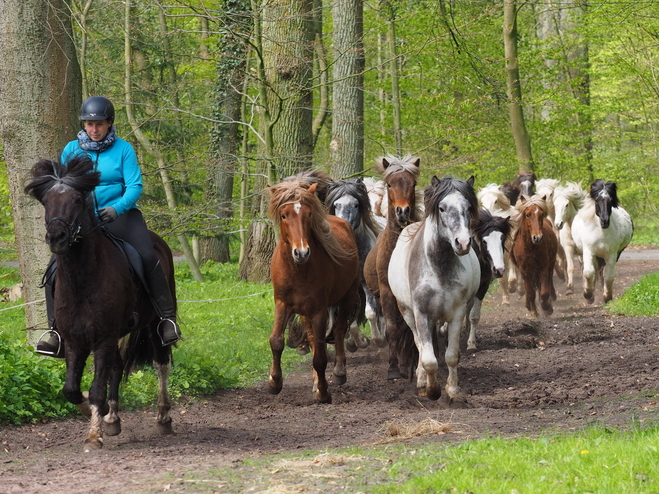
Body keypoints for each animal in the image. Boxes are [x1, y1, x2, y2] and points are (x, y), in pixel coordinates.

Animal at [25, 155, 175, 452]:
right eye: (46, 201)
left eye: (77, 200)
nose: (56, 238)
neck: (84, 280)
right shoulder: (75, 339)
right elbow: (72, 389)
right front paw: (98, 413)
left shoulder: (104, 337)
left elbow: (96, 389)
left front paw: (94, 435)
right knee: (116, 367)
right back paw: (113, 418)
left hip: (153, 323)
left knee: (160, 363)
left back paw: (163, 417)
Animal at [266, 176, 360, 404]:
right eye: (284, 215)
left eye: (308, 214)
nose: (301, 252)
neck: (298, 270)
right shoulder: (282, 304)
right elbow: (276, 341)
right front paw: (275, 382)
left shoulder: (319, 309)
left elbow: (320, 356)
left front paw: (324, 392)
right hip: (304, 311)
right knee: (311, 337)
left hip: (347, 296)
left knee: (338, 329)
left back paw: (339, 372)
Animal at [326, 178, 386, 352]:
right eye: (336, 205)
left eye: (356, 205)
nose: (343, 225)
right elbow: (351, 320)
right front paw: (359, 342)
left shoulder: (366, 283)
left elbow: (371, 313)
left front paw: (379, 340)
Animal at [360, 154, 422, 378]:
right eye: (390, 184)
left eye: (413, 183)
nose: (402, 211)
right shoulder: (386, 291)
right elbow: (393, 328)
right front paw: (394, 368)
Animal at [392, 176, 480, 404]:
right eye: (441, 208)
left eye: (468, 207)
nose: (463, 243)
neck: (439, 268)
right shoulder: (422, 314)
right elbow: (429, 358)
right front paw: (432, 390)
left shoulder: (457, 314)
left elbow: (452, 355)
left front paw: (453, 389)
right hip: (407, 313)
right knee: (419, 345)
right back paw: (422, 380)